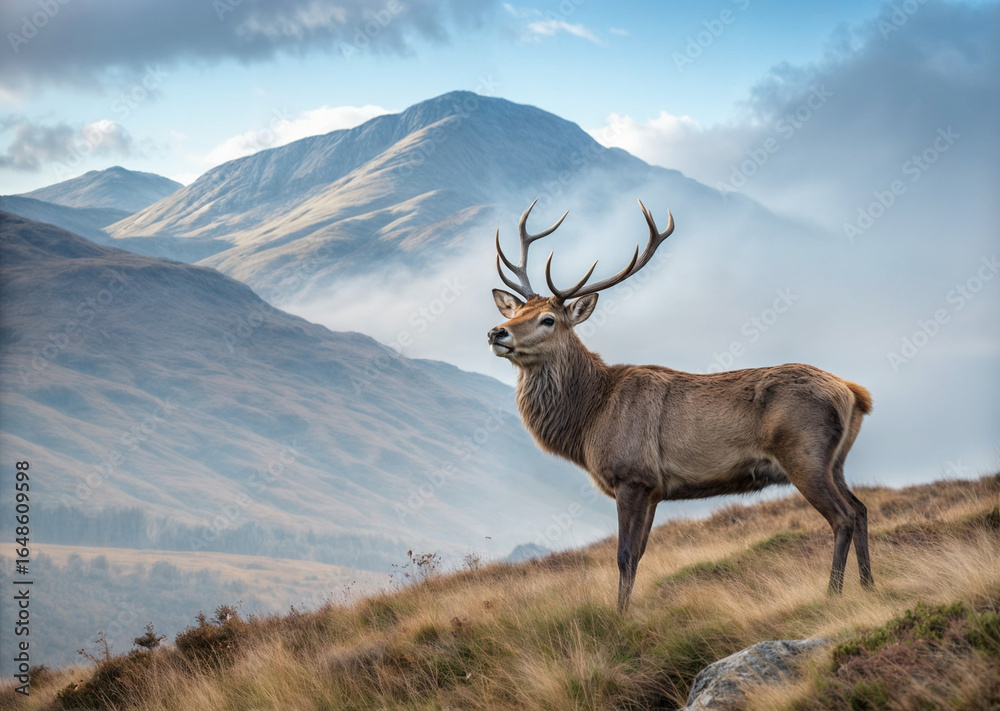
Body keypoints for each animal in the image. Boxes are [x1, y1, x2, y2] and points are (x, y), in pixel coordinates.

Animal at [488, 199, 874, 612]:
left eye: (548, 319)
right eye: (515, 313)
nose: (497, 332)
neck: (589, 420)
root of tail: (854, 393)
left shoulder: (632, 475)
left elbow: (624, 555)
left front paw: (620, 616)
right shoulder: (655, 489)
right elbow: (639, 555)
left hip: (804, 453)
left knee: (843, 516)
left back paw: (833, 592)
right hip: (836, 461)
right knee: (861, 508)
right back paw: (868, 585)